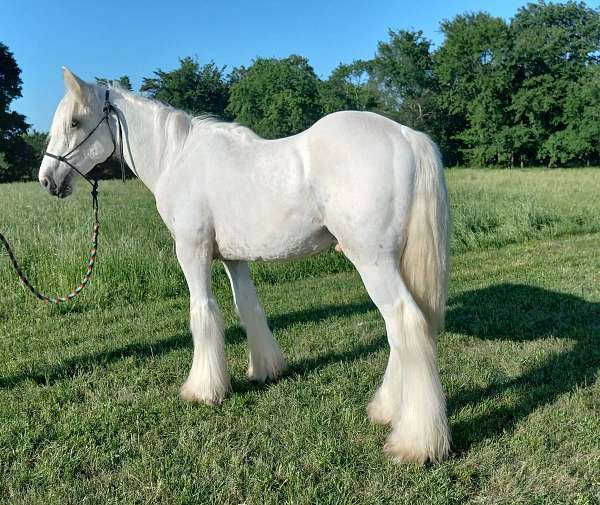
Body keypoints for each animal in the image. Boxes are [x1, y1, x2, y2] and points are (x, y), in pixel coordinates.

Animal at [38, 69, 450, 462]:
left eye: (74, 122)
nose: (47, 180)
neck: (176, 158)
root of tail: (407, 136)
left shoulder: (192, 251)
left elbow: (203, 312)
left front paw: (203, 390)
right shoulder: (234, 260)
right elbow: (248, 308)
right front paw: (265, 370)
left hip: (373, 261)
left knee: (406, 322)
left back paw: (416, 443)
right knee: (407, 330)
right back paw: (387, 409)